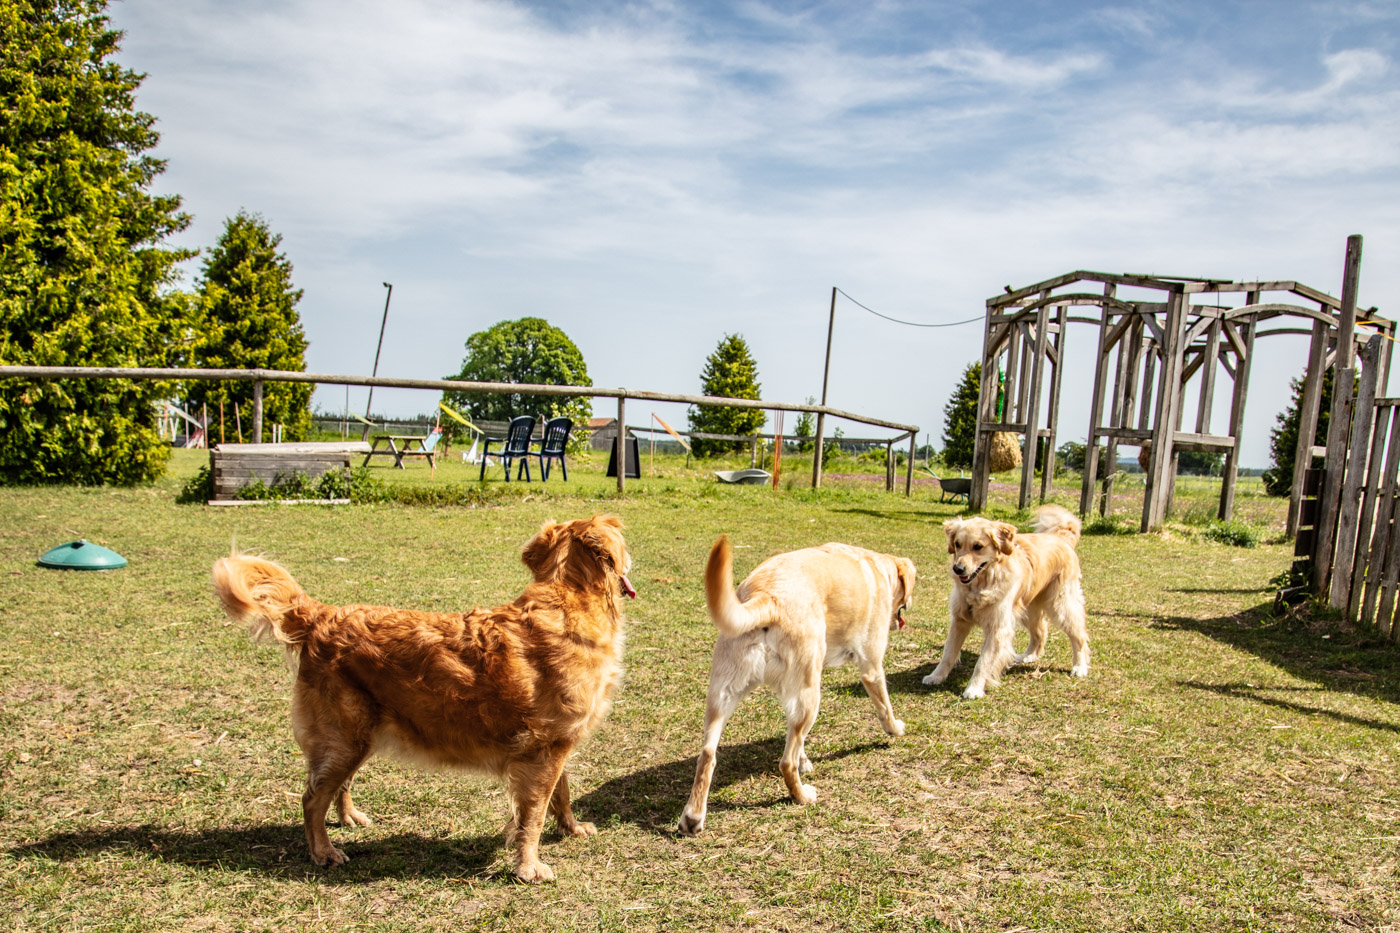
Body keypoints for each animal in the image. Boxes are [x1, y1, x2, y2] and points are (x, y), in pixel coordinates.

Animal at [211, 512, 635, 885]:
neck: (568, 598)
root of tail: (321, 616)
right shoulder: (542, 750)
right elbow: (532, 816)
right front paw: (529, 868)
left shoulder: (555, 743)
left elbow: (561, 794)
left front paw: (571, 828)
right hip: (345, 737)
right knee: (311, 798)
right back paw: (323, 852)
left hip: (357, 738)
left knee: (336, 786)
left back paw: (348, 818)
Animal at [677, 535, 918, 829]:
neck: (877, 568)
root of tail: (767, 598)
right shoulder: (871, 668)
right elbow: (885, 708)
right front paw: (895, 729)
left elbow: (798, 740)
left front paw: (806, 760)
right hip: (810, 696)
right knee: (785, 763)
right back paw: (801, 796)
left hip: (722, 696)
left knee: (707, 755)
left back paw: (692, 817)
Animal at [924, 504, 1086, 694]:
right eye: (957, 544)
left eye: (978, 546)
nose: (958, 568)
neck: (981, 584)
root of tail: (1060, 537)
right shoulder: (959, 620)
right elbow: (948, 653)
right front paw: (936, 676)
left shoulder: (998, 627)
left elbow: (983, 662)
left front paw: (974, 689)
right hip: (1027, 609)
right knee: (1040, 631)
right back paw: (1029, 655)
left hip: (1060, 605)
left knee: (1079, 636)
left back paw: (1080, 667)